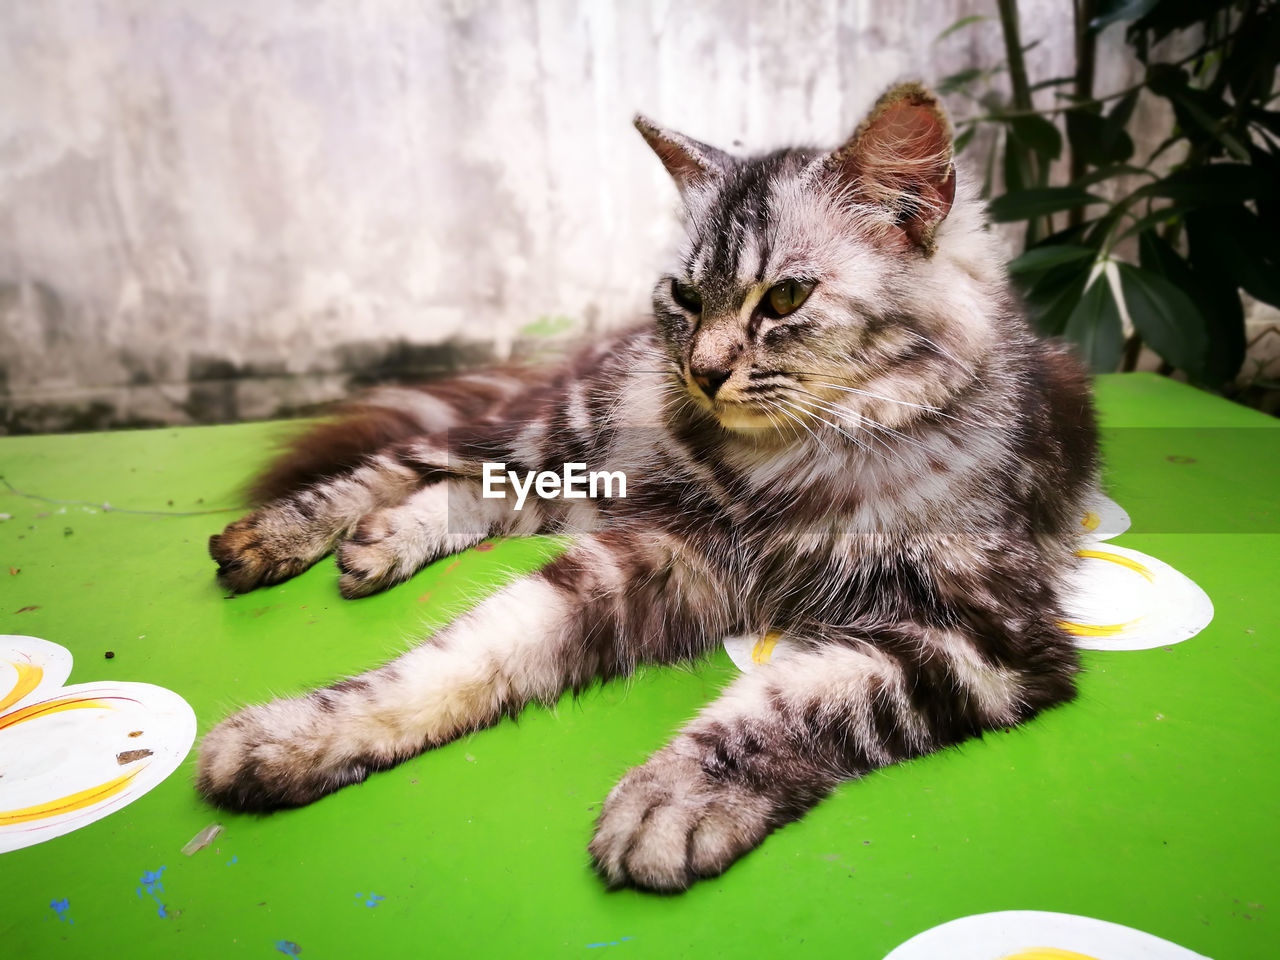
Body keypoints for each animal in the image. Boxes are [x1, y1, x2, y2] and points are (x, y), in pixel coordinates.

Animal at [199, 82, 1100, 896]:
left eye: (786, 298)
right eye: (688, 296)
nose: (703, 372)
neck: (787, 470)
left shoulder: (984, 639)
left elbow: (786, 702)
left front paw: (672, 799)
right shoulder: (661, 553)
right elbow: (458, 657)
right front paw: (297, 736)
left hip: (595, 483)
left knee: (481, 492)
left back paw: (381, 543)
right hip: (575, 438)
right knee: (411, 461)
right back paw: (280, 537)